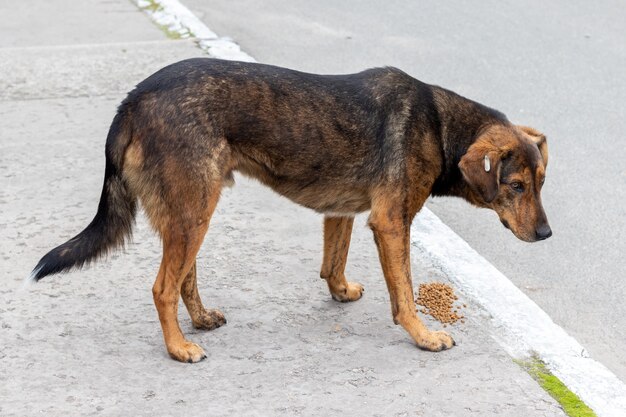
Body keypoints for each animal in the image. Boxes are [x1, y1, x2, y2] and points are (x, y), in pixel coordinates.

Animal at [29, 58, 548, 360]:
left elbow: (333, 263)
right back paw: (178, 347)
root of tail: (133, 100)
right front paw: (423, 336)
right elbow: (404, 293)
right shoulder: (391, 223)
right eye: (516, 186)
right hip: (194, 211)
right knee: (162, 288)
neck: (441, 125)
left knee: (183, 279)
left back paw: (199, 320)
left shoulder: (343, 212)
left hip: (190, 210)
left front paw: (341, 291)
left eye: (542, 183)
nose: (546, 236)